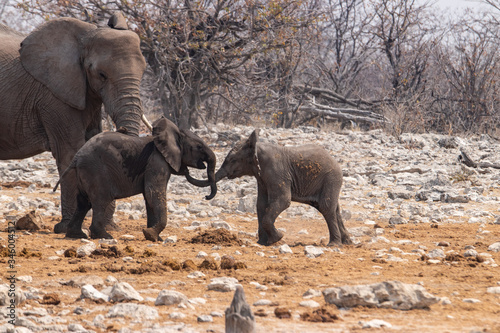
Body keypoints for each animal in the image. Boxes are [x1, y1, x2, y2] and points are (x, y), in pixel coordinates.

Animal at [0, 12, 149, 231]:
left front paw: (109, 228)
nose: (120, 129)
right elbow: (72, 152)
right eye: (101, 74)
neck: (85, 34)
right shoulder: (54, 97)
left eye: (143, 71)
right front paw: (67, 228)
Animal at [54, 117, 217, 241]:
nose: (206, 196)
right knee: (100, 201)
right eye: (199, 147)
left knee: (83, 202)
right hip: (95, 171)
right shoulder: (156, 161)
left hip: (85, 173)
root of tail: (77, 157)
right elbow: (153, 193)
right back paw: (105, 236)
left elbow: (149, 198)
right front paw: (150, 234)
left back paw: (77, 235)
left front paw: (155, 238)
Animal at [187, 130, 352, 246]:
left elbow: (282, 201)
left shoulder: (276, 172)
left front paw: (277, 238)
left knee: (326, 207)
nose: (206, 197)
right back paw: (347, 243)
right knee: (333, 209)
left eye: (233, 160)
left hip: (331, 178)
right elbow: (260, 205)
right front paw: (262, 243)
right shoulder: (262, 178)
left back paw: (334, 245)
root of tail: (335, 162)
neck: (257, 147)